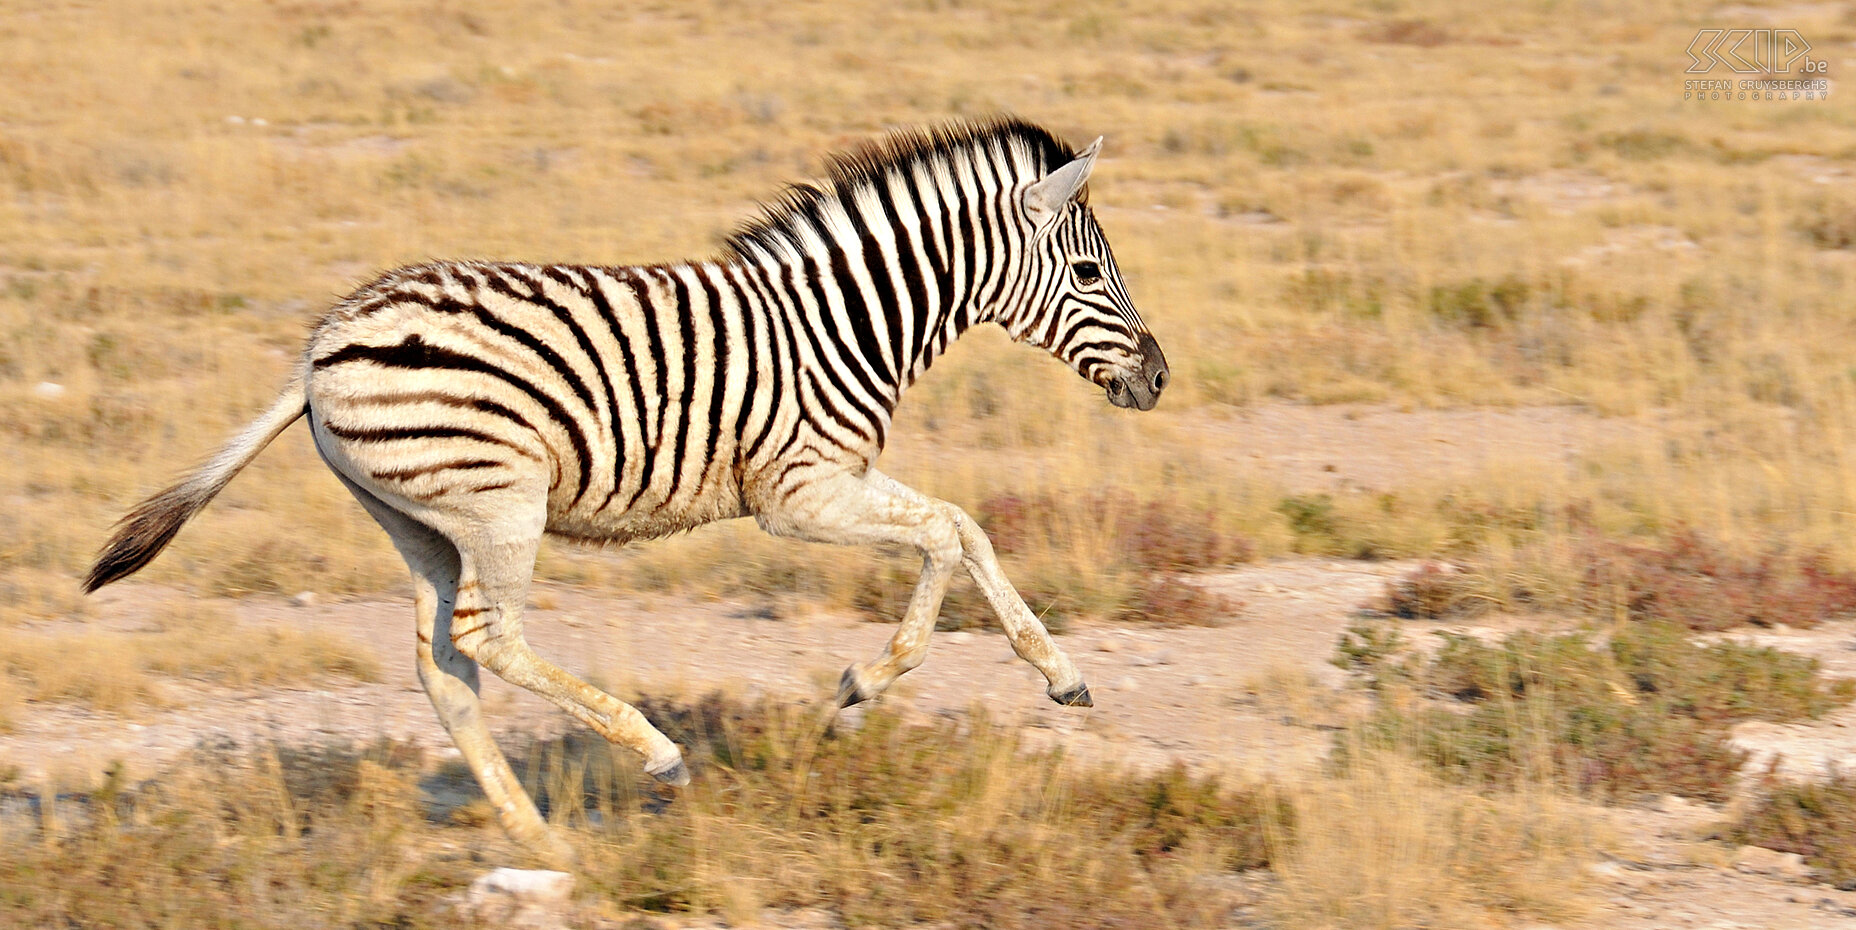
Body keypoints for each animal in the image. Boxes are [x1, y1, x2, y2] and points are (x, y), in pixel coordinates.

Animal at [87, 116, 1165, 861]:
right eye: (1085, 270)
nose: (1158, 379)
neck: (844, 324)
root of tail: (319, 347)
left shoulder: (840, 478)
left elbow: (968, 529)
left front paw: (1059, 673)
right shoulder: (798, 493)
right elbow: (944, 534)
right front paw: (865, 682)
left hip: (418, 521)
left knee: (444, 666)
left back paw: (539, 840)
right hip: (499, 502)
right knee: (489, 639)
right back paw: (650, 750)